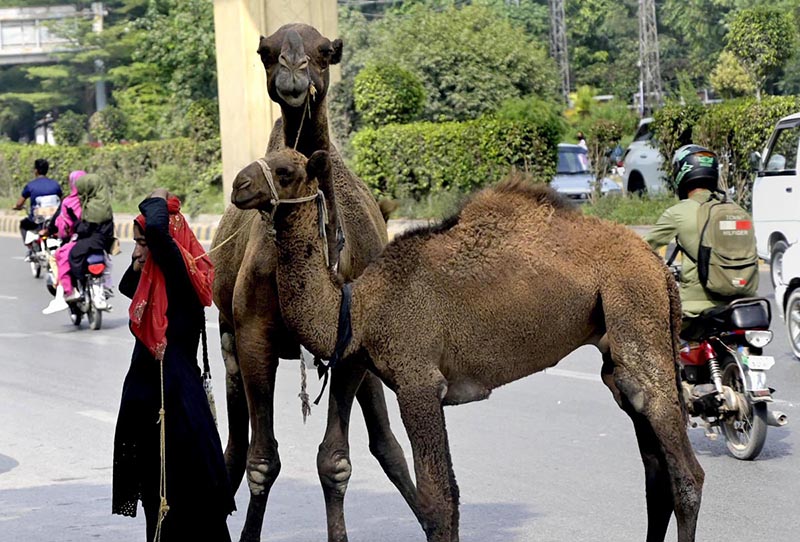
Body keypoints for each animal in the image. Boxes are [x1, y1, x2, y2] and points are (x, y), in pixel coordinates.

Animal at [211, 24, 419, 542]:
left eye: (325, 52)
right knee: (234, 445)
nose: (292, 71)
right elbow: (262, 460)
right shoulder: (253, 336)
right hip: (225, 336)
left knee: (386, 442)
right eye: (266, 52)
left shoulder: (352, 344)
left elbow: (336, 460)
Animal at [231, 147, 706, 542]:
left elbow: (438, 501)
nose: (238, 185)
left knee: (685, 471)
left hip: (635, 305)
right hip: (618, 344)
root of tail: (659, 266)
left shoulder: (418, 382)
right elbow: (449, 497)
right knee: (652, 462)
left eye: (286, 171)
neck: (360, 305)